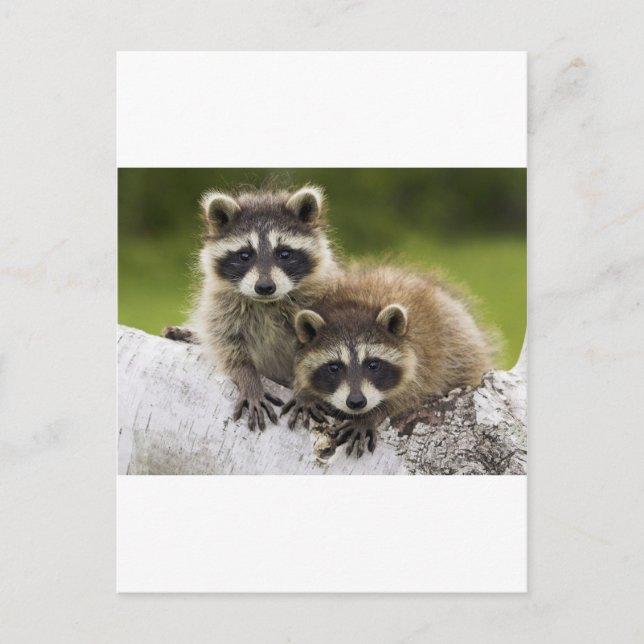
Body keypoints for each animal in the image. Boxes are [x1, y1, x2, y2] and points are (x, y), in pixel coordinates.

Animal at [165, 185, 341, 431]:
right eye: (245, 255)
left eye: (284, 254)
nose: (265, 287)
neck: (266, 304)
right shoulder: (220, 306)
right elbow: (227, 345)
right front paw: (248, 378)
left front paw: (305, 391)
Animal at [292, 265, 497, 456]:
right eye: (334, 367)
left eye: (373, 364)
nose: (357, 402)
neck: (354, 306)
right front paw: (305, 393)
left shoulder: (424, 362)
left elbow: (409, 395)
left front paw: (371, 415)